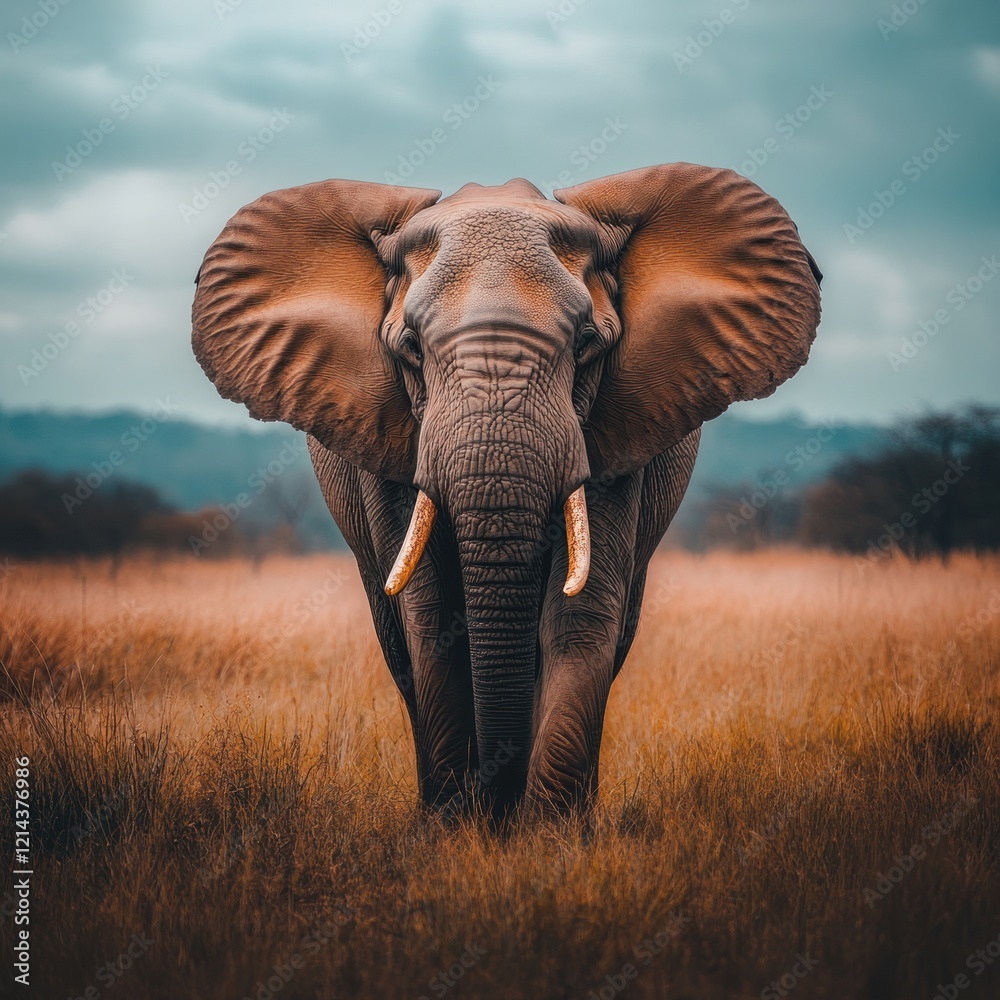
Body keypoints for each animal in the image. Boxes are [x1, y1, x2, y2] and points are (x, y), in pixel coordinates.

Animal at [192, 163, 822, 822]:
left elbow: (578, 614)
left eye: (586, 344)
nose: (495, 805)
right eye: (410, 347)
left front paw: (551, 830)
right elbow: (430, 620)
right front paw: (453, 826)